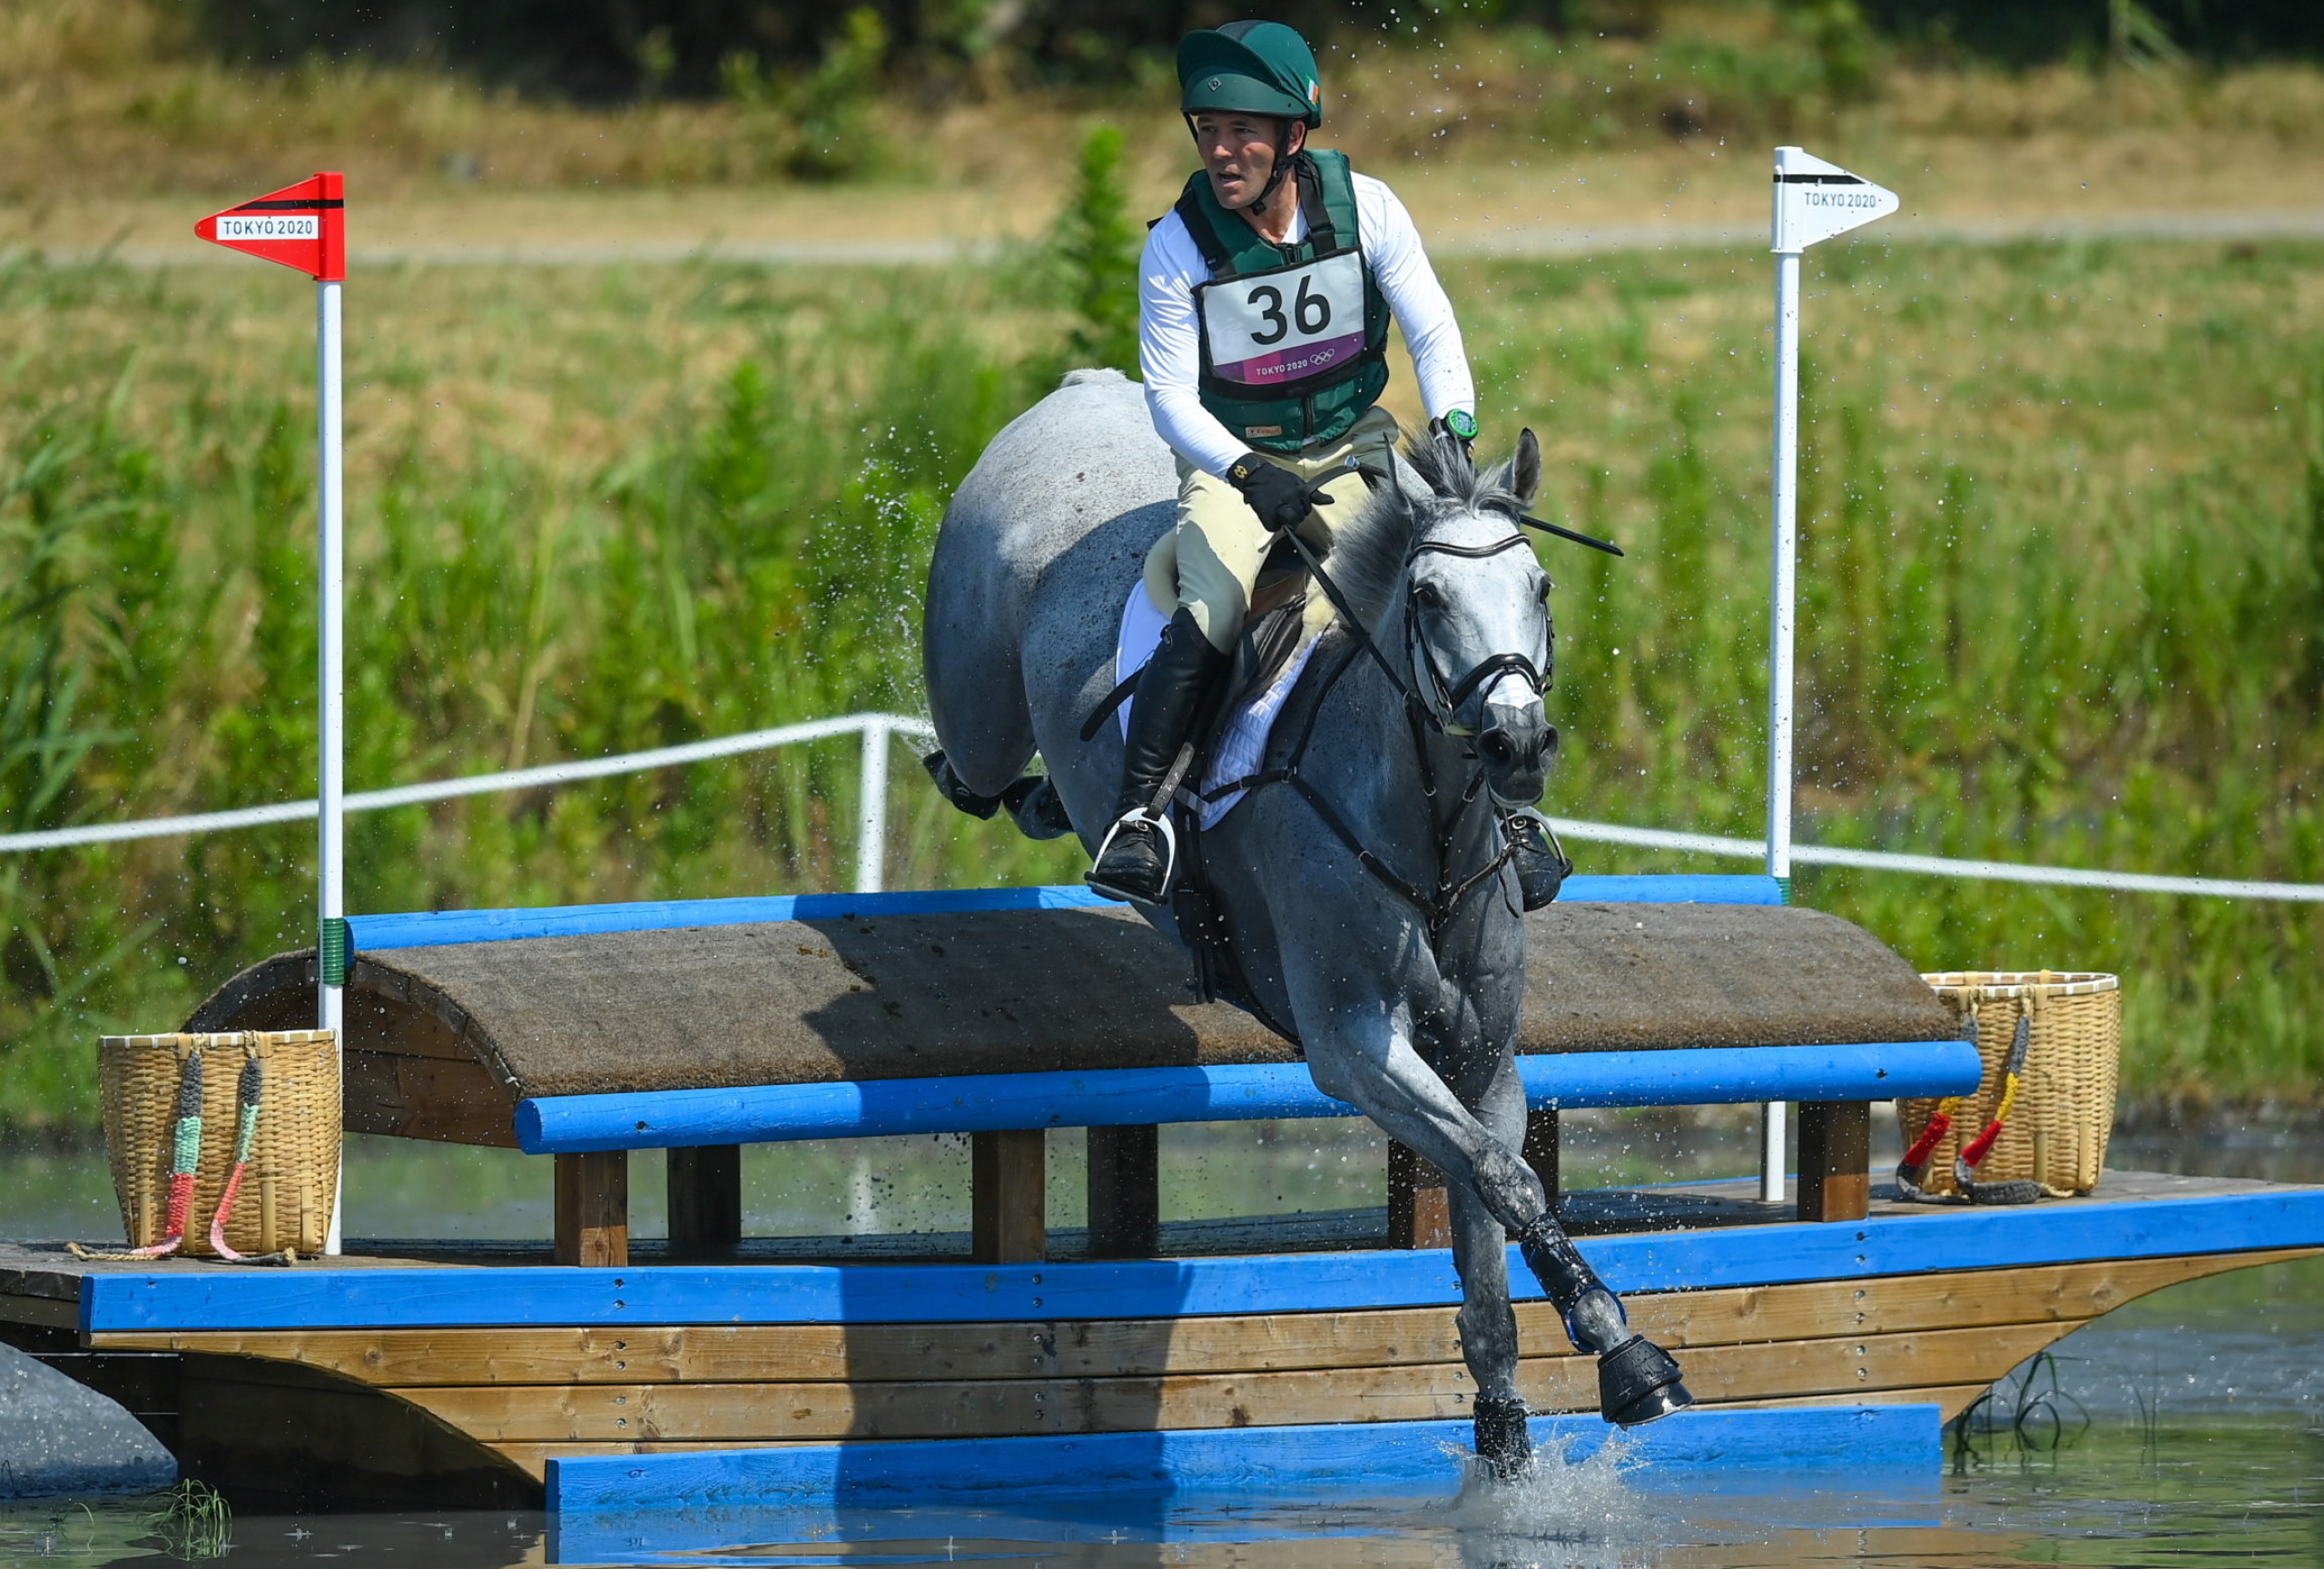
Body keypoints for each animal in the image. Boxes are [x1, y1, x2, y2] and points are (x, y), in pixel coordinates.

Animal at [915, 367, 1700, 1468]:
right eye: (1426, 597)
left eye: (1541, 588)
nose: (1516, 746)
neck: (1426, 824)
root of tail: (1082, 388)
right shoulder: (1352, 1048)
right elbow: (1504, 1178)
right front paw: (1624, 1352)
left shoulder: (1483, 1062)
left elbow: (1490, 1224)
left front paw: (1512, 1425)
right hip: (978, 698)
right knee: (970, 768)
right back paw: (1098, 824)